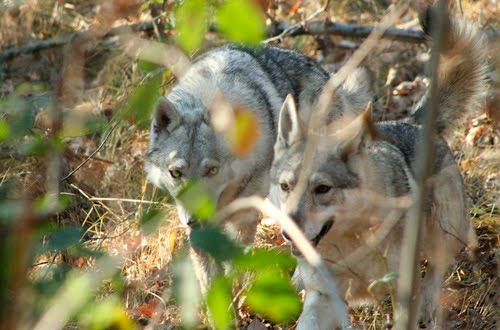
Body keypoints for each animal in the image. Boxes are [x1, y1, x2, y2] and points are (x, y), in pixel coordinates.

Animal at [272, 9, 486, 328]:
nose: (288, 234)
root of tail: (412, 121)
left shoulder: (404, 291)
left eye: (322, 189)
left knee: (435, 281)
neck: (352, 241)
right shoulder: (323, 297)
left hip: (444, 236)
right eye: (286, 187)